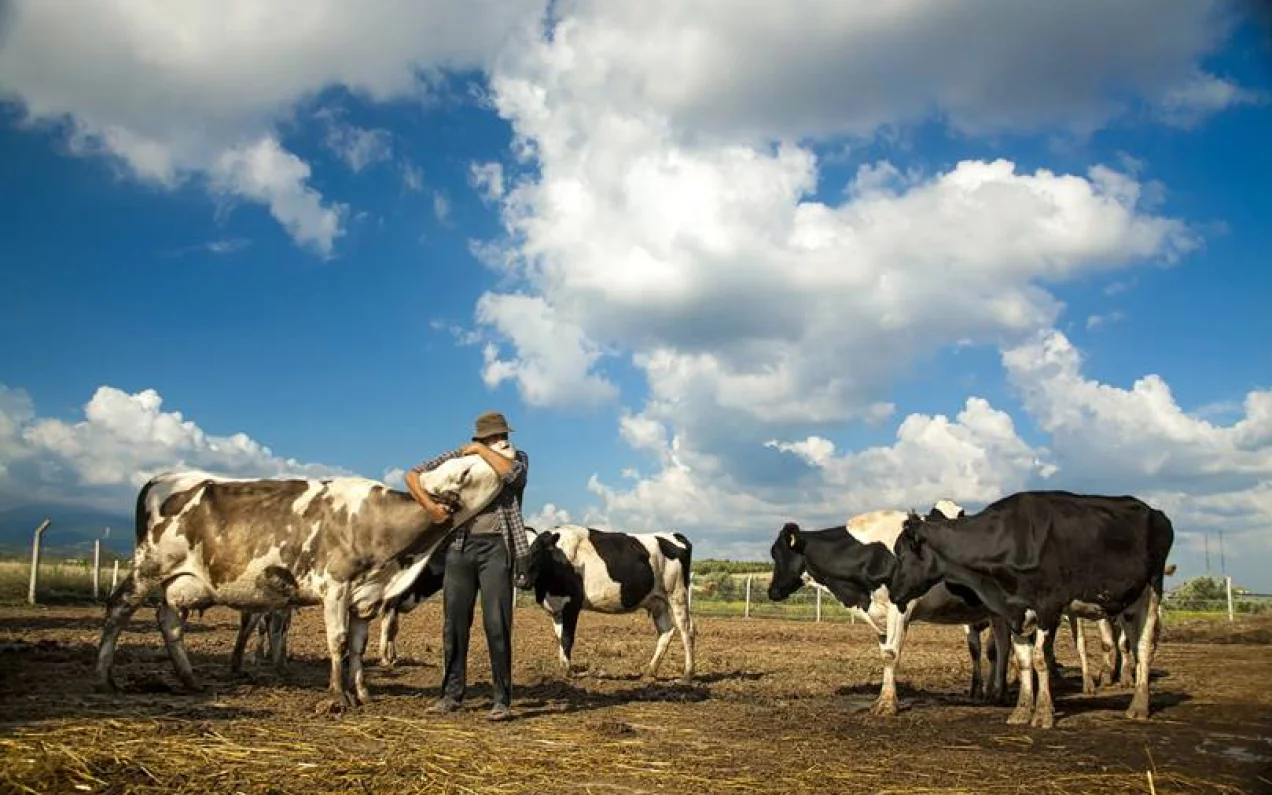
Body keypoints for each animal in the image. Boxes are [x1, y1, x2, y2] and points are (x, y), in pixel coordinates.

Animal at [95, 452, 512, 709]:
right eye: (464, 471)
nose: (509, 458)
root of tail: (160, 477)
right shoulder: (336, 586)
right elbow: (338, 642)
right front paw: (338, 696)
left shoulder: (366, 596)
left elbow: (358, 647)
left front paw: (363, 692)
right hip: (150, 565)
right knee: (119, 607)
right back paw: (105, 677)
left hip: (177, 581)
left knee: (168, 622)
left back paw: (189, 680)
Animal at [520, 525, 696, 683]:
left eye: (536, 551)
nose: (521, 581)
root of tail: (674, 535)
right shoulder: (556, 608)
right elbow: (559, 637)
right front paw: (563, 668)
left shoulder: (572, 605)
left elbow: (567, 638)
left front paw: (568, 673)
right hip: (658, 601)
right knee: (667, 631)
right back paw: (650, 672)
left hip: (677, 594)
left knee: (686, 630)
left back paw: (687, 675)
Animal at [768, 500, 1011, 716]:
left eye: (777, 554)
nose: (772, 591)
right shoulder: (879, 612)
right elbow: (885, 653)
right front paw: (884, 699)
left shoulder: (900, 606)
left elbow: (892, 654)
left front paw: (886, 704)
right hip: (996, 613)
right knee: (1001, 646)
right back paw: (996, 694)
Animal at [888, 490, 1175, 728]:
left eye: (902, 554)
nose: (893, 593)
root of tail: (1154, 512)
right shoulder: (1014, 611)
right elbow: (1024, 660)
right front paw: (1023, 711)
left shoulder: (1048, 607)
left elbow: (1039, 659)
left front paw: (1044, 713)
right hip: (1128, 604)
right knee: (1133, 645)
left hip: (1151, 591)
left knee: (1144, 646)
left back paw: (1138, 706)